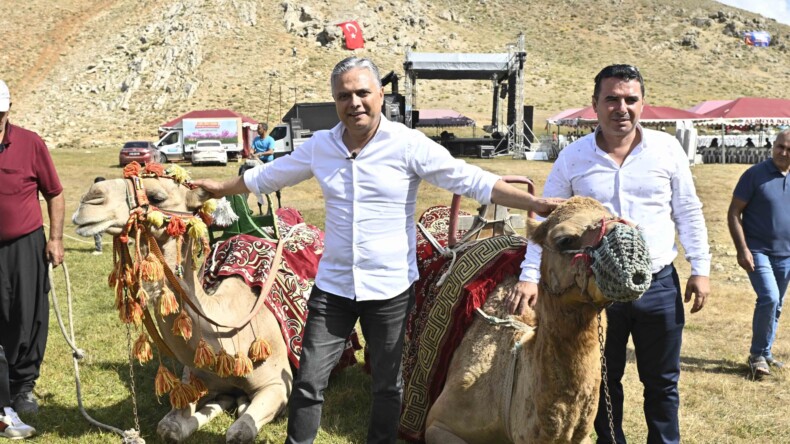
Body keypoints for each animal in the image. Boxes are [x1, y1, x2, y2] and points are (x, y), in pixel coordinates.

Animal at [69, 164, 326, 444]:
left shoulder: (278, 384)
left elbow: (239, 432)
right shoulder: (194, 379)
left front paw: (238, 408)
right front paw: (216, 405)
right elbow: (169, 428)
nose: (90, 199)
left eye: (157, 197)